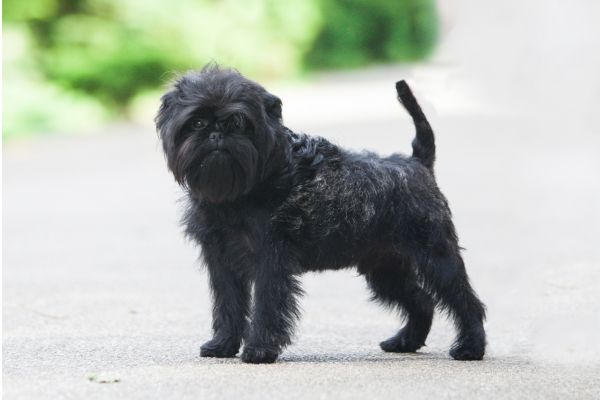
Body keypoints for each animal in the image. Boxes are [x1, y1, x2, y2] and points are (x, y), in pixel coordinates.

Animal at [156, 65, 488, 362]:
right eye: (197, 123)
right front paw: (223, 345)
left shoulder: (270, 259)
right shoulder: (222, 262)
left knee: (465, 301)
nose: (217, 134)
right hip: (385, 269)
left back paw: (470, 348)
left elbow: (266, 305)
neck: (239, 191)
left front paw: (259, 350)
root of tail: (417, 163)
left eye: (239, 123)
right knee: (422, 301)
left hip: (436, 256)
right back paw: (405, 342)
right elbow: (228, 306)